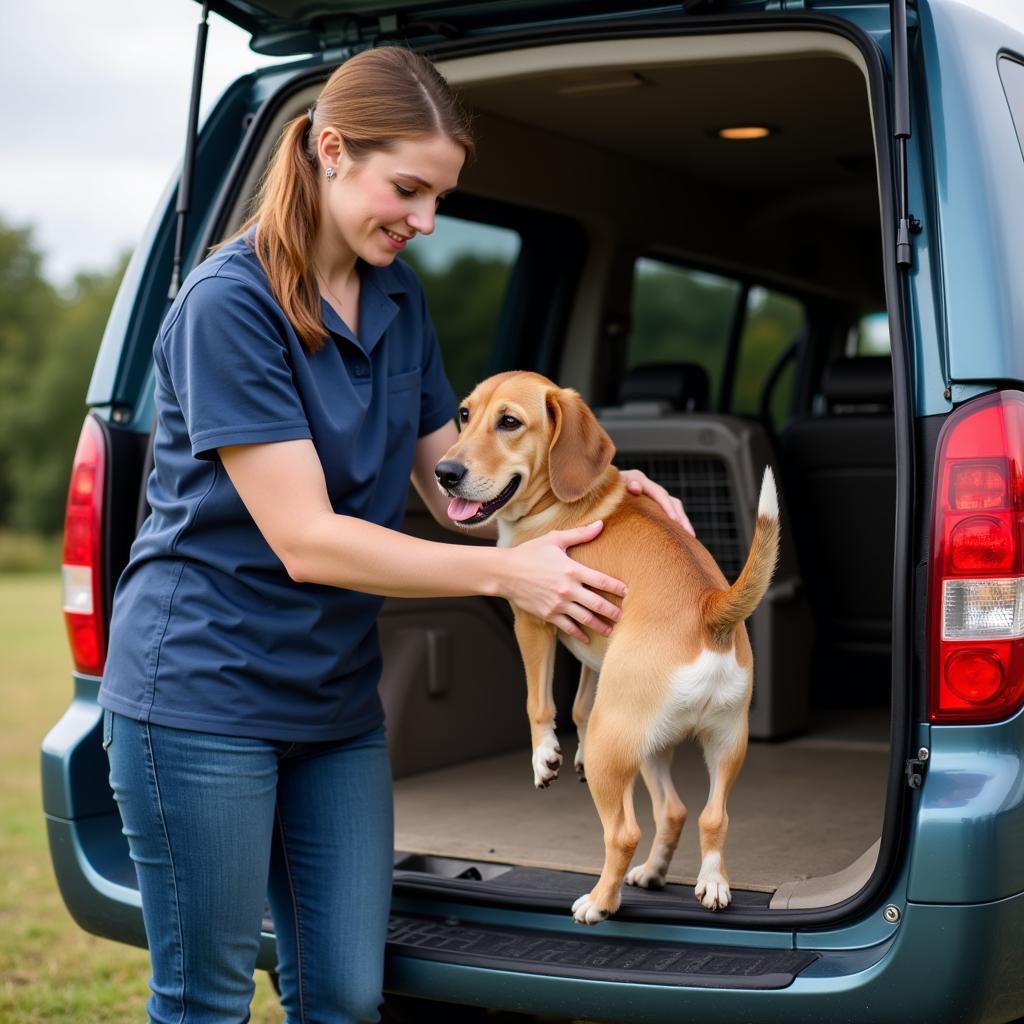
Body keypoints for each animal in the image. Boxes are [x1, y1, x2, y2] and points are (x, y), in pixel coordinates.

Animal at [436, 372, 778, 925]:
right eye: (465, 415)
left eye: (509, 422)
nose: (444, 472)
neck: (563, 498)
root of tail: (710, 608)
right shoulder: (591, 642)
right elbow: (578, 703)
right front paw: (565, 753)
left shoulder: (534, 619)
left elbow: (540, 703)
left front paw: (546, 757)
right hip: (709, 743)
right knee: (702, 815)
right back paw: (693, 881)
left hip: (613, 744)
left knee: (624, 832)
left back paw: (600, 902)